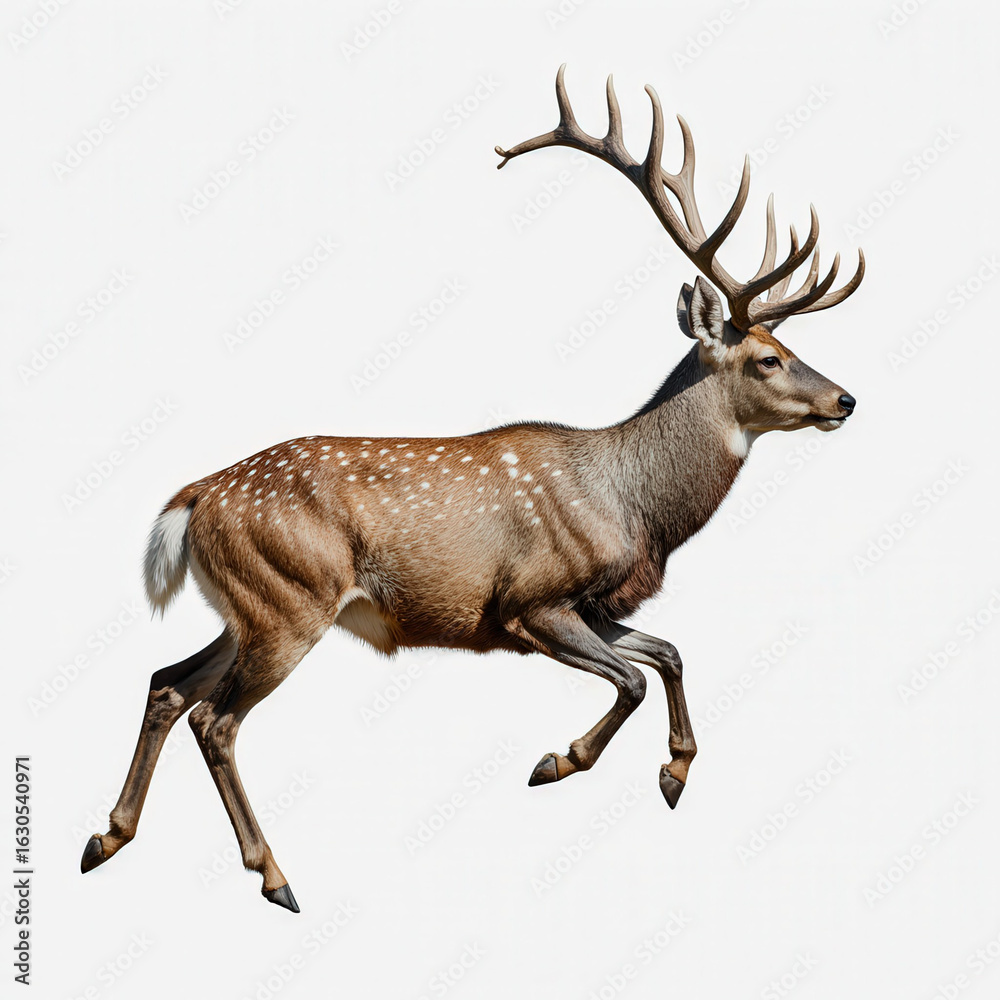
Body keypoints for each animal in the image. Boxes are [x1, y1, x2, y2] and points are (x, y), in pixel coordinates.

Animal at [80, 66, 864, 913]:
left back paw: (106, 838)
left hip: (247, 608)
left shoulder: (594, 606)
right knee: (215, 721)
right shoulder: (531, 600)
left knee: (166, 684)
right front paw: (559, 761)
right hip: (290, 599)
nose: (845, 400)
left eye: (789, 344)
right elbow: (631, 680)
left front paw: (674, 773)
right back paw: (275, 876)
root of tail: (192, 498)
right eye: (765, 358)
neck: (633, 509)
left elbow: (670, 654)